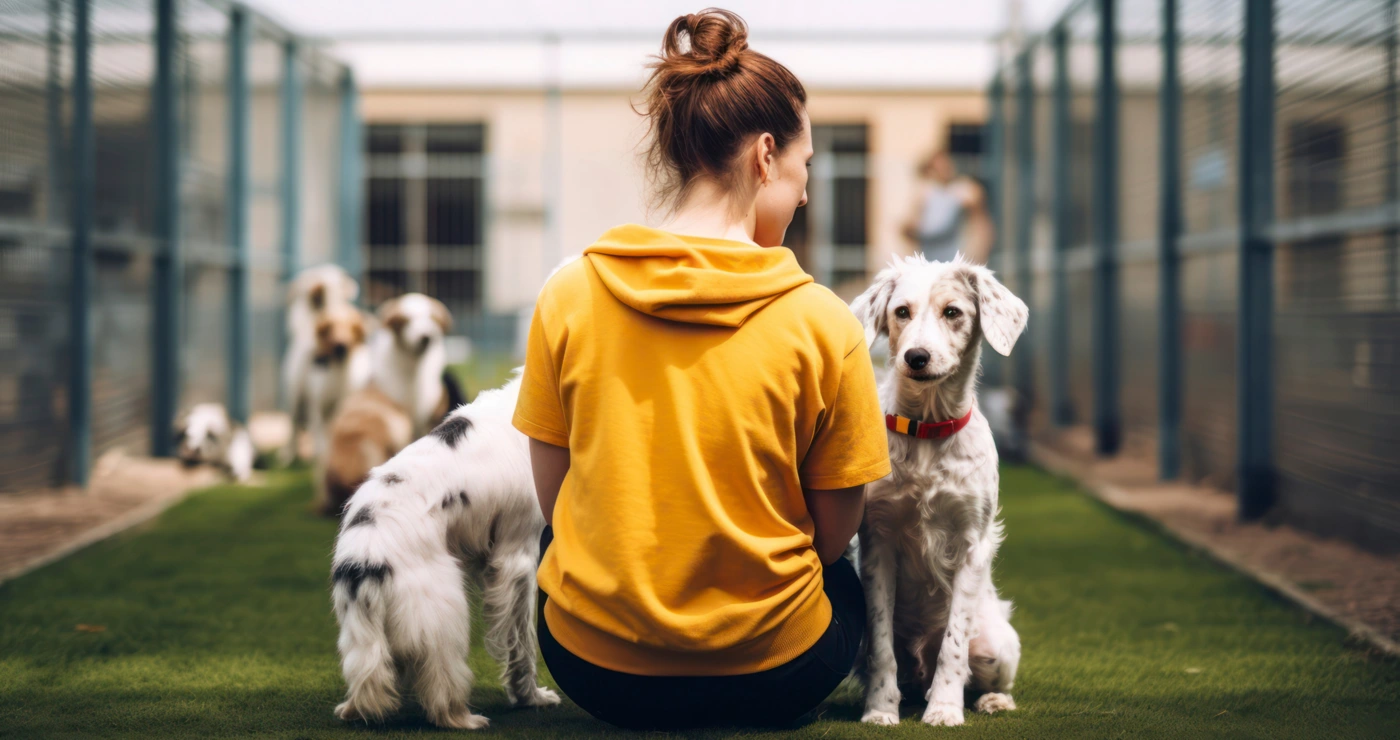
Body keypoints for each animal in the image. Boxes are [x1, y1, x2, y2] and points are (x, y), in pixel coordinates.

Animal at [331, 372, 557, 727]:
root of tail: (364, 561)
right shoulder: (518, 559)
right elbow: (522, 644)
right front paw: (530, 698)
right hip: (445, 616)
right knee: (441, 687)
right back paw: (464, 719)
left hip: (362, 634)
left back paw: (352, 709)